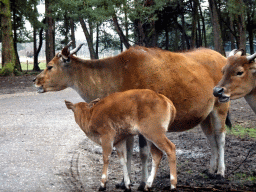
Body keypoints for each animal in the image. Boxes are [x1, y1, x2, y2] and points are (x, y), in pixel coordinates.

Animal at [33, 42, 230, 189]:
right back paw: (210, 169)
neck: (116, 76)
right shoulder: (125, 126)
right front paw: (124, 182)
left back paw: (220, 171)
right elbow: (127, 152)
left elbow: (142, 153)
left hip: (221, 105)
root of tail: (223, 57)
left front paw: (142, 182)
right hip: (205, 115)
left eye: (50, 66)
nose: (35, 80)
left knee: (220, 137)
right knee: (210, 138)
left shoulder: (140, 125)